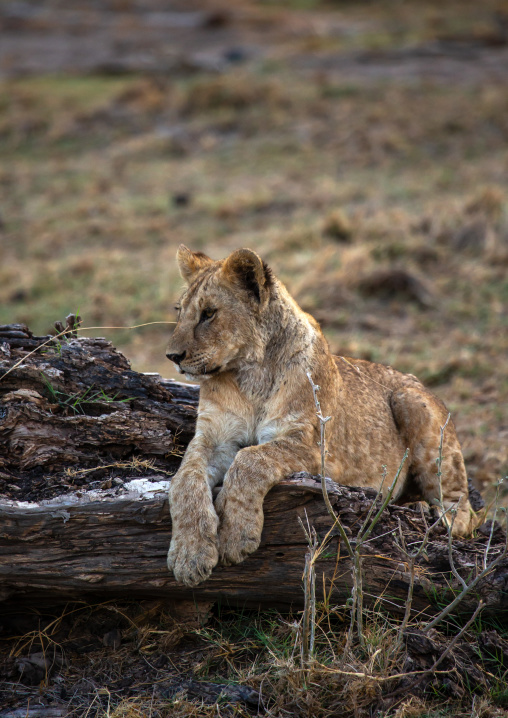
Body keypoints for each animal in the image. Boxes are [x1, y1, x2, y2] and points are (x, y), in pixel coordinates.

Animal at [166, 245, 478, 587]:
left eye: (209, 313)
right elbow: (184, 480)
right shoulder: (213, 438)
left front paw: (235, 534)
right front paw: (188, 555)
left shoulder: (314, 447)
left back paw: (435, 514)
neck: (248, 374)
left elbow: (250, 459)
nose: (172, 356)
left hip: (410, 401)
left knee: (465, 509)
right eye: (179, 311)